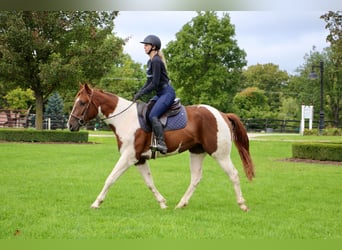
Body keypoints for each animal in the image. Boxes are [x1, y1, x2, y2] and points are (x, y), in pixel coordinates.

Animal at [67, 84, 254, 211]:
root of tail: (222, 114)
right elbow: (149, 182)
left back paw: (242, 204)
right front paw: (163, 203)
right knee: (195, 178)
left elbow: (110, 178)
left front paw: (96, 202)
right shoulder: (139, 160)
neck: (125, 118)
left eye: (82, 103)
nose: (70, 125)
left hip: (220, 154)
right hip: (197, 152)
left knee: (234, 174)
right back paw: (181, 204)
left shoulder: (128, 157)